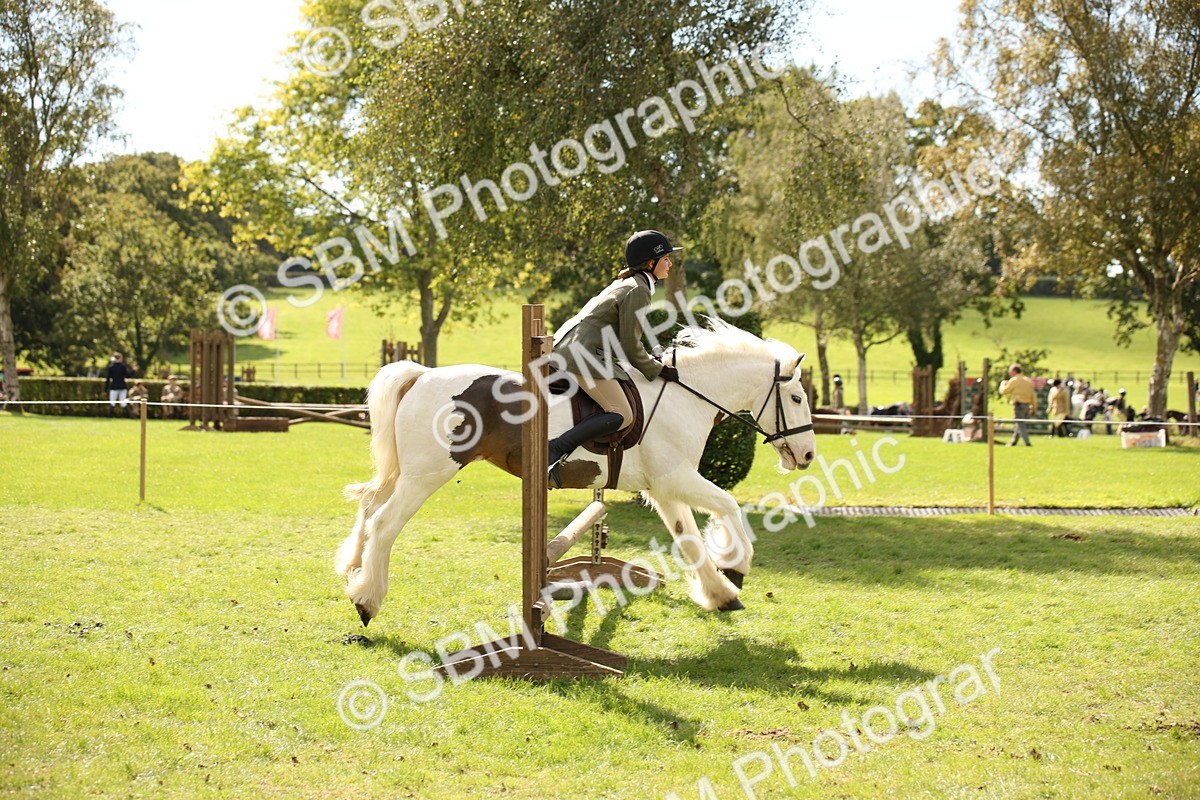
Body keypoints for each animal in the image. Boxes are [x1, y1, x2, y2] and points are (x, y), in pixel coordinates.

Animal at [336, 319, 817, 626]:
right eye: (796, 398)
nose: (809, 455)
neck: (687, 395)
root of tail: (421, 375)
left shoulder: (665, 488)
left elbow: (690, 539)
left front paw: (720, 594)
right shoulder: (676, 478)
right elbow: (729, 506)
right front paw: (736, 567)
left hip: (410, 472)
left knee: (370, 504)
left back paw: (353, 569)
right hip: (427, 474)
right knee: (385, 522)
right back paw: (367, 600)